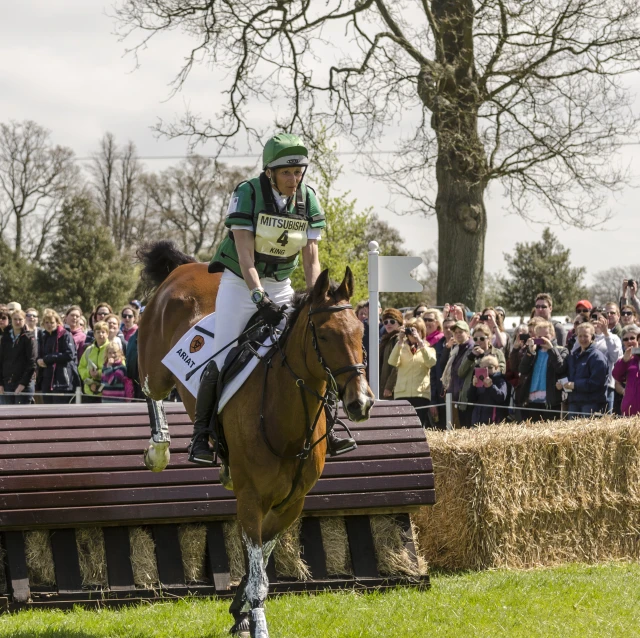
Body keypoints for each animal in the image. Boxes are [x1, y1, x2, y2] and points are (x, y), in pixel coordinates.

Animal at [136, 242, 376, 636]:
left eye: (359, 333)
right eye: (324, 335)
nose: (361, 403)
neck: (286, 423)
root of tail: (187, 267)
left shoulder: (291, 503)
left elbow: (259, 565)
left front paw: (241, 612)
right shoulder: (250, 500)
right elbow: (258, 574)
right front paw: (255, 623)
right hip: (156, 366)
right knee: (149, 387)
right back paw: (159, 450)